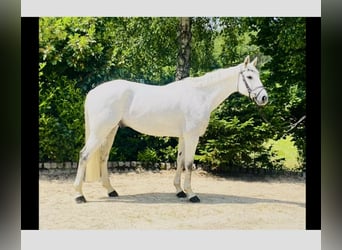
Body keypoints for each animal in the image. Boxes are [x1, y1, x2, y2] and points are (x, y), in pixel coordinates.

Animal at [73, 55, 268, 203]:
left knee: (103, 157)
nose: (264, 98)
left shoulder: (183, 136)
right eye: (249, 77)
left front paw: (179, 191)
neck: (200, 95)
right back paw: (79, 195)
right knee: (84, 155)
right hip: (100, 131)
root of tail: (93, 92)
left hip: (111, 130)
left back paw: (111, 190)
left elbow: (179, 161)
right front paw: (191, 194)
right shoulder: (192, 136)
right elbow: (188, 164)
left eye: (258, 75)